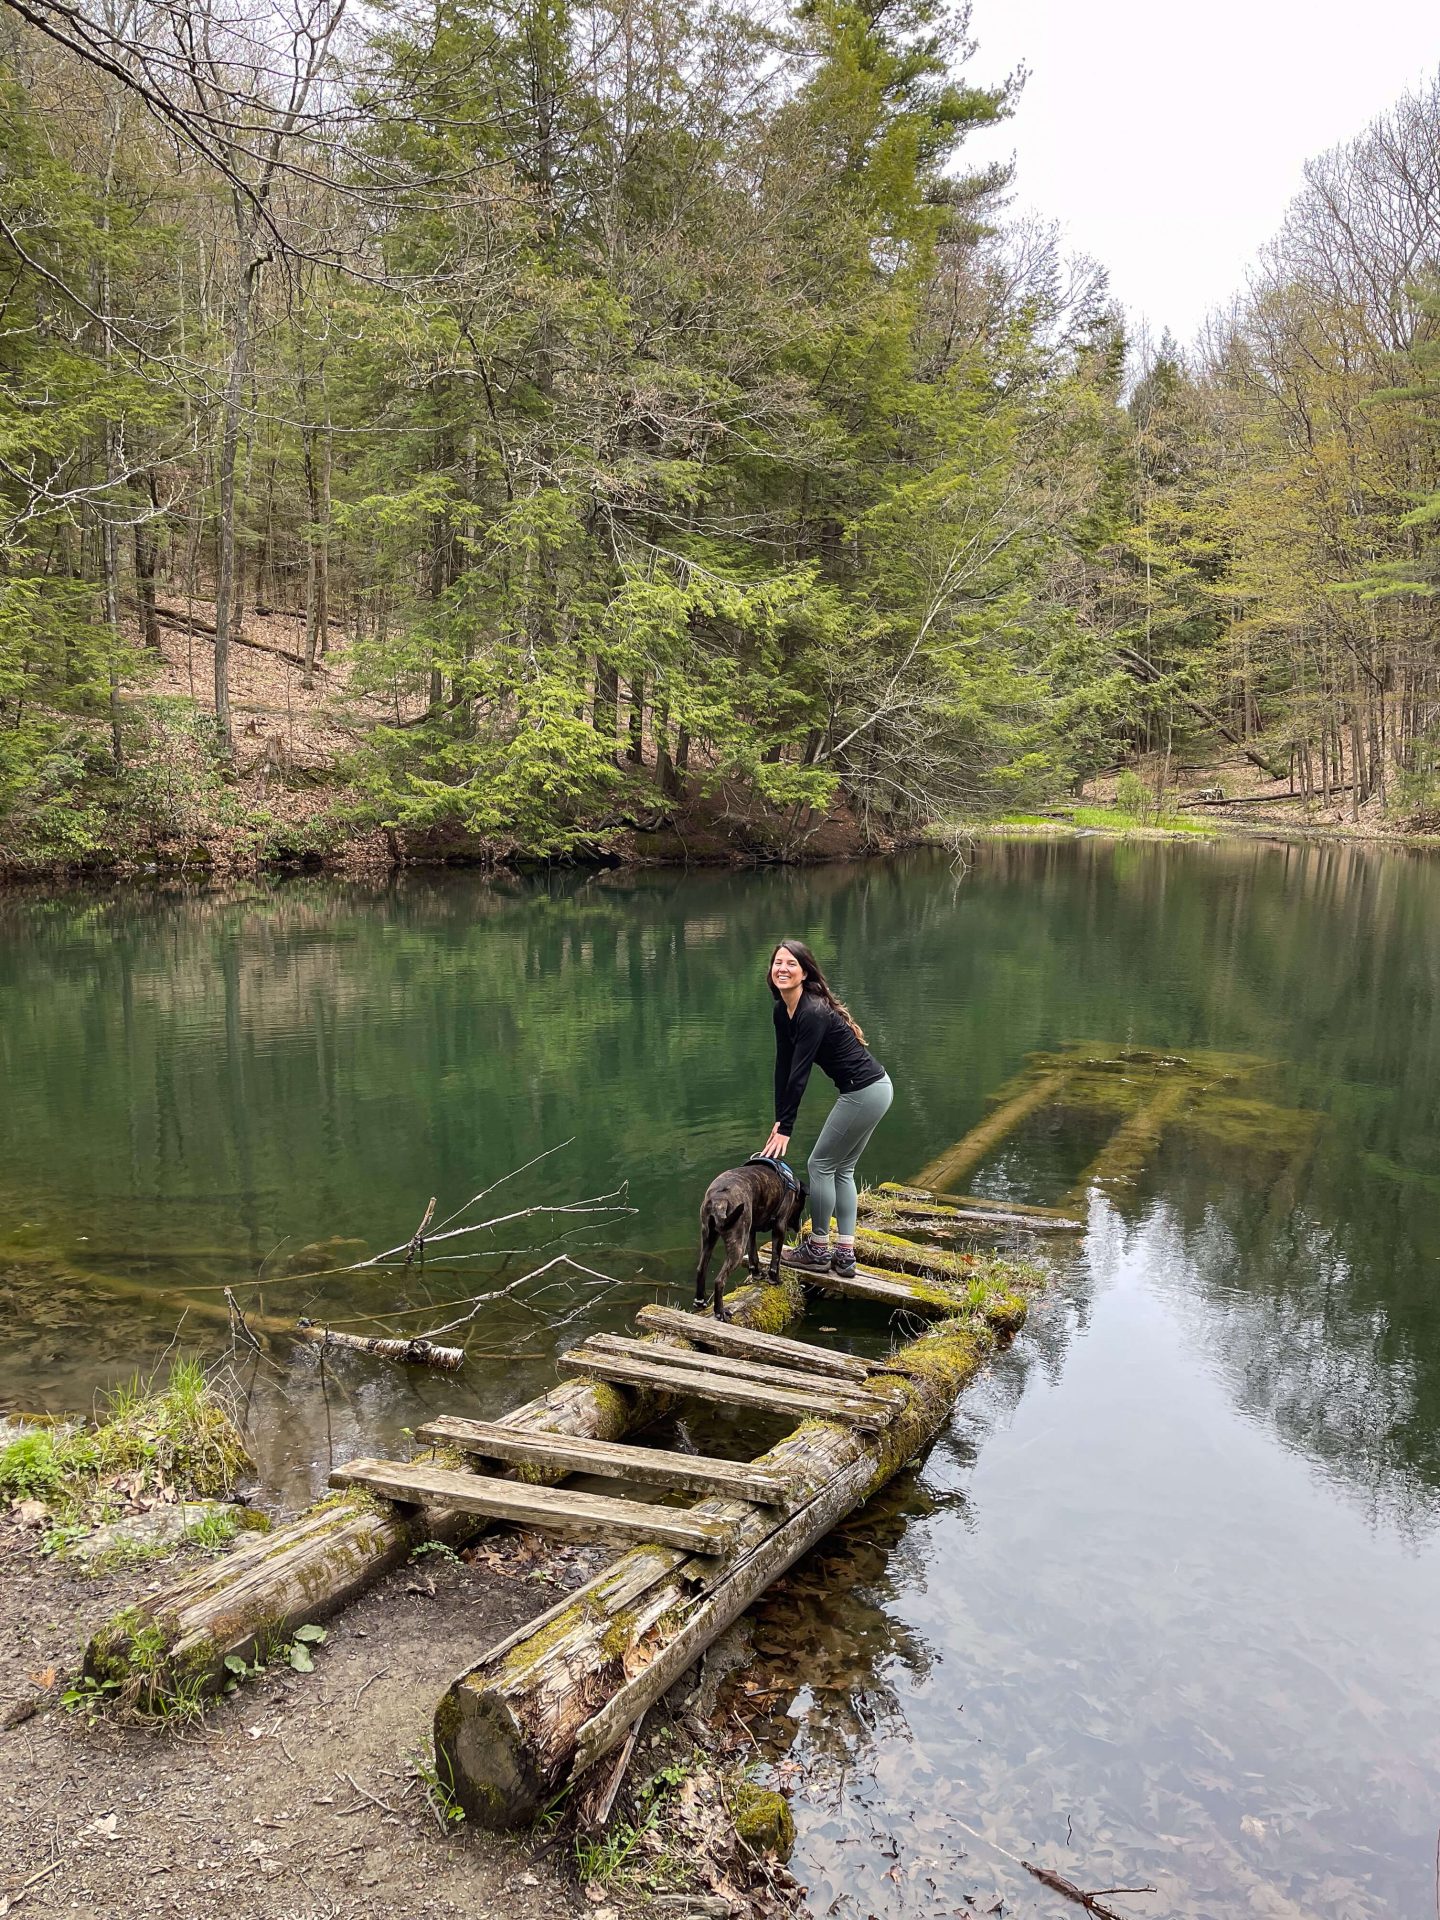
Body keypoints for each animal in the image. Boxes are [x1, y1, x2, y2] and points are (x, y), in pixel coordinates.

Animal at [691, 1152, 806, 1320]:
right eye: (802, 1204)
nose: (797, 1227)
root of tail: (719, 1199)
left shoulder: (751, 1230)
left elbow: (753, 1257)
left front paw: (757, 1275)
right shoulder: (779, 1227)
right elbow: (775, 1258)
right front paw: (774, 1280)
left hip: (709, 1238)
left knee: (701, 1269)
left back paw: (699, 1301)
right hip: (737, 1246)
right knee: (719, 1280)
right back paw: (720, 1312)